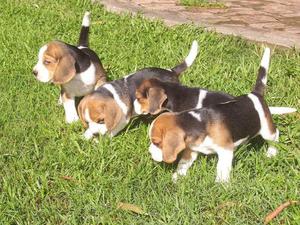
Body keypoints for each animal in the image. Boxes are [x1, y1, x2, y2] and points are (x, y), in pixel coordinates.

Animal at [148, 47, 296, 183]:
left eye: (157, 142)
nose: (149, 152)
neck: (197, 123)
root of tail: (254, 94)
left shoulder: (225, 150)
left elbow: (222, 168)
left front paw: (221, 184)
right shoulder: (192, 149)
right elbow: (183, 163)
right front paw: (177, 176)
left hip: (266, 129)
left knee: (275, 136)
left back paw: (271, 153)